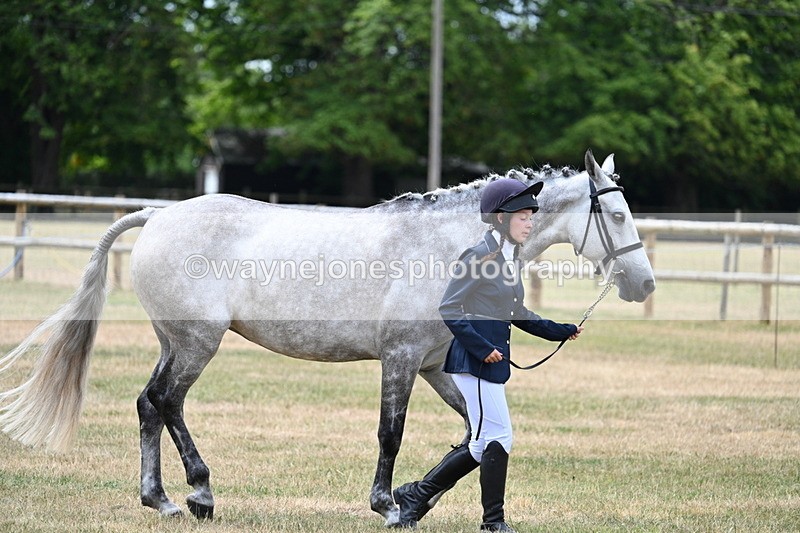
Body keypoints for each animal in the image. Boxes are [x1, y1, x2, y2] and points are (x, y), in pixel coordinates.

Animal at [0, 149, 654, 525]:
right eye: (618, 215)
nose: (643, 283)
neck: (448, 246)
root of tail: (158, 215)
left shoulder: (437, 365)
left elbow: (472, 438)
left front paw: (417, 499)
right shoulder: (400, 360)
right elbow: (391, 433)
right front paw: (388, 504)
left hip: (175, 344)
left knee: (148, 404)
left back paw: (158, 497)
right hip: (197, 343)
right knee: (166, 402)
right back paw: (199, 495)